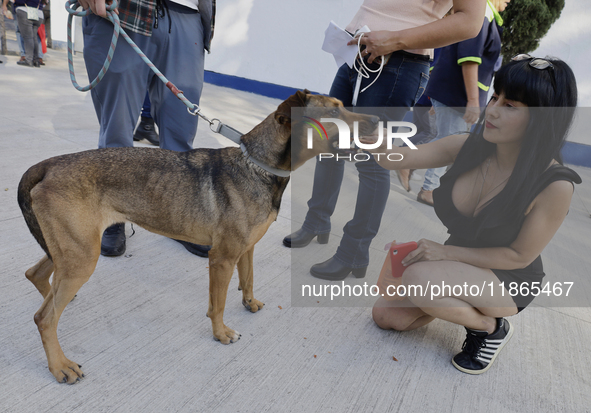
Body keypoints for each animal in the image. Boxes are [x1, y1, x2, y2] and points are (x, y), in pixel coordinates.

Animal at [18, 90, 380, 384]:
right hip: (82, 256)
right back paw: (59, 365)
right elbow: (217, 305)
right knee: (44, 318)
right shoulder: (221, 258)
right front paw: (220, 334)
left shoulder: (246, 249)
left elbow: (248, 279)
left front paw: (249, 303)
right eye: (335, 111)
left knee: (36, 276)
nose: (378, 118)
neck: (259, 166)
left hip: (72, 249)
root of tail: (49, 165)